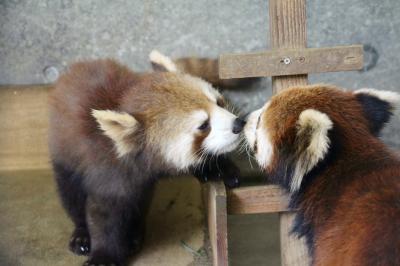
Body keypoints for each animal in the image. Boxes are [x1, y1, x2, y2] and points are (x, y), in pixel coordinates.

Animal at [48, 52, 245, 266]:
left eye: (218, 102)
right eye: (203, 125)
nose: (238, 124)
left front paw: (221, 169)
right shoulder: (107, 170)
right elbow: (104, 214)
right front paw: (103, 257)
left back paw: (134, 233)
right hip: (64, 159)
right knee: (71, 195)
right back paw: (82, 234)